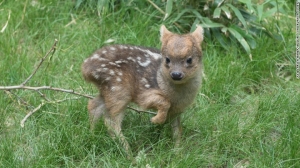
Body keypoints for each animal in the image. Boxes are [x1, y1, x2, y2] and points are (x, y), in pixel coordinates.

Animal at [82, 24, 204, 154]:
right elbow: (164, 102)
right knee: (111, 121)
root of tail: (86, 68)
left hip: (108, 89)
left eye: (189, 59)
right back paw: (128, 152)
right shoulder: (144, 93)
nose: (176, 74)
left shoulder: (178, 109)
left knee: (93, 105)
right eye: (167, 59)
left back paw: (92, 135)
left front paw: (177, 151)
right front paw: (155, 120)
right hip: (119, 89)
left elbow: (177, 130)